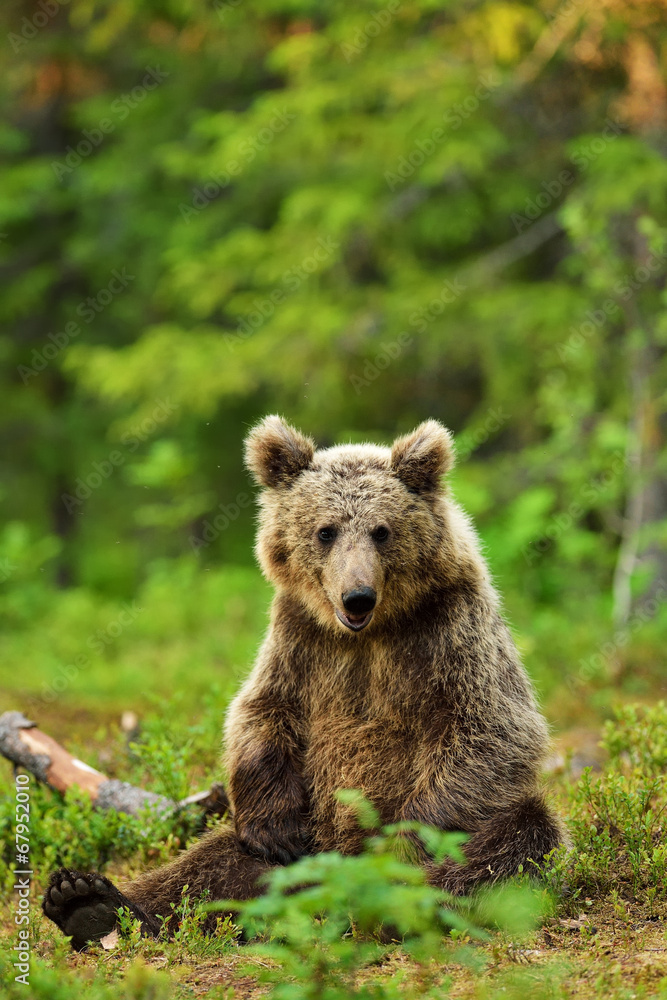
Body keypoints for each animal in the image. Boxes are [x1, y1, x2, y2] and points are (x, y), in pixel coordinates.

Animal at [43, 415, 563, 950]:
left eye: (381, 531)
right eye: (325, 531)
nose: (357, 595)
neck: (370, 633)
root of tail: (330, 882)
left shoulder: (450, 631)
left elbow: (489, 727)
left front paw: (406, 841)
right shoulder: (300, 639)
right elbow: (263, 709)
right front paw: (276, 826)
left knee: (515, 836)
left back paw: (400, 903)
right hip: (290, 847)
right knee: (208, 867)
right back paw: (91, 902)